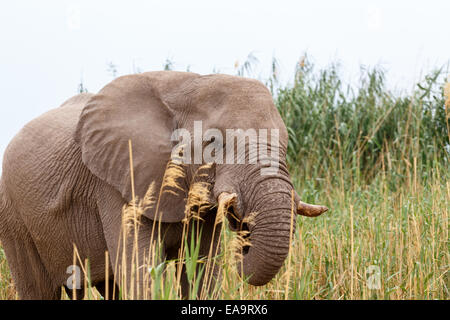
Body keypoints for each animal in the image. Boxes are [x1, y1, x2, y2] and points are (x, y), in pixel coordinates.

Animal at [0, 70, 326, 300]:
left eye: (286, 142)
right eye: (214, 143)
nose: (244, 240)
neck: (187, 85)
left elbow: (201, 274)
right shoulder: (118, 184)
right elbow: (140, 275)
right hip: (13, 216)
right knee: (37, 289)